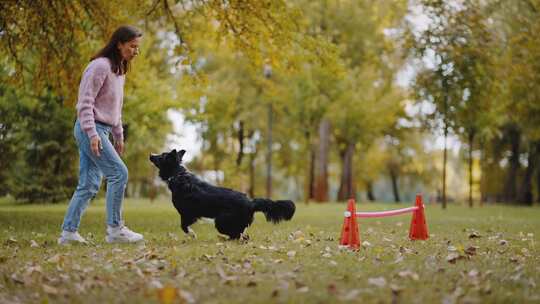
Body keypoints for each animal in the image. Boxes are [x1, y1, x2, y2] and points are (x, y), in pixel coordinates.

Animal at [149, 150, 296, 240]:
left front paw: (192, 234)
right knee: (242, 235)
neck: (178, 175)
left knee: (237, 235)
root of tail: (251, 202)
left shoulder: (187, 214)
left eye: (161, 156)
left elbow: (184, 226)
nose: (150, 155)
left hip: (221, 221)